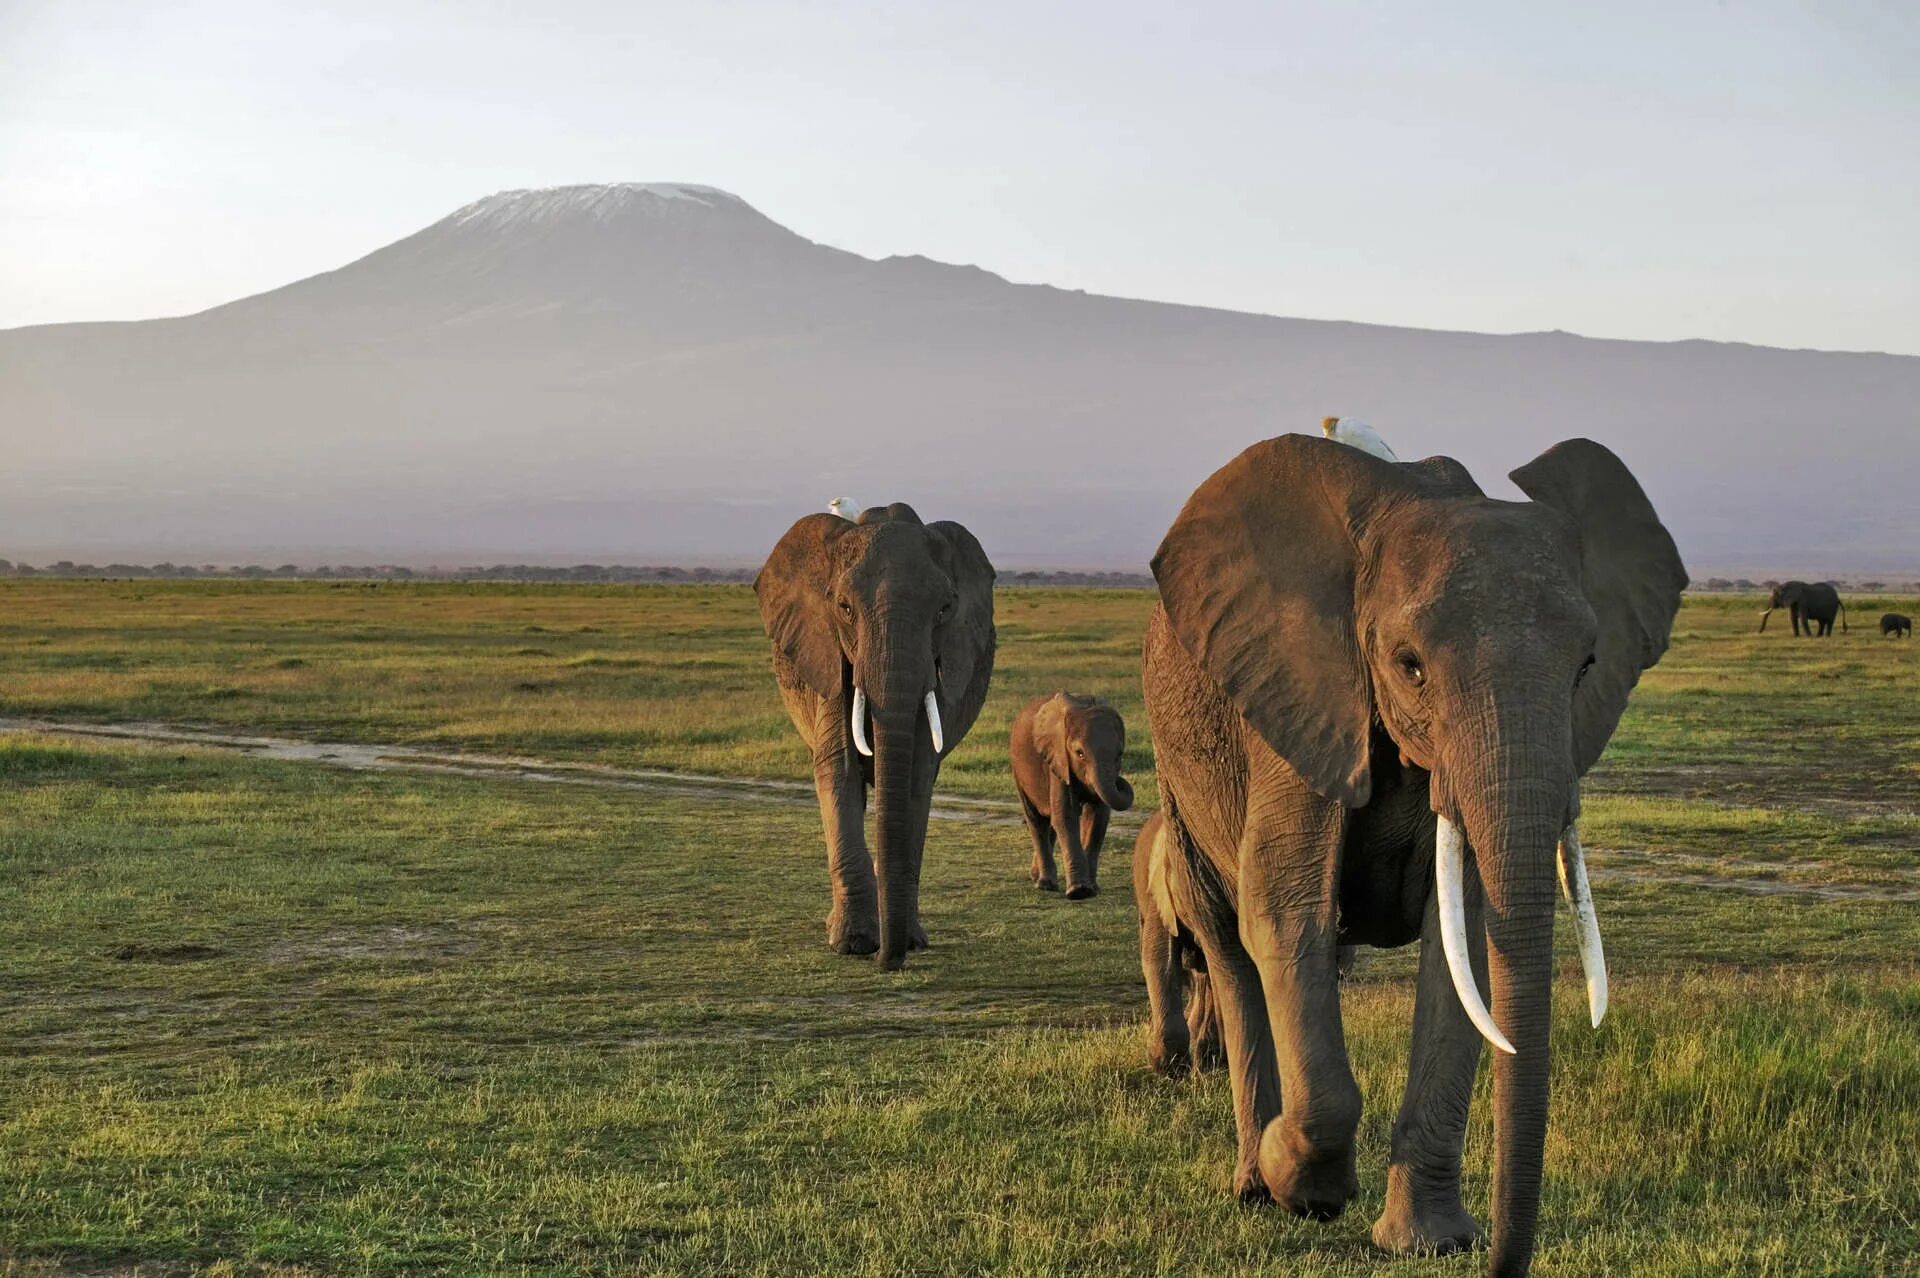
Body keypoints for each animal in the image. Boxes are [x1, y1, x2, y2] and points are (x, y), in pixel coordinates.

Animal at [756, 498, 998, 967]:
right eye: (844, 608)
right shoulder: (828, 655)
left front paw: (908, 941)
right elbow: (839, 771)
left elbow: (917, 778)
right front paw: (852, 944)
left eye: (944, 610)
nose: (889, 961)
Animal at [1013, 686, 1128, 894]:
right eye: (1079, 753)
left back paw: (1037, 876)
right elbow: (1066, 816)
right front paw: (1080, 891)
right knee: (1037, 820)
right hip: (1018, 770)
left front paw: (1093, 889)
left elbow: (1097, 819)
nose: (1120, 781)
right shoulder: (1057, 759)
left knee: (1049, 821)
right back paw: (1045, 884)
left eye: (1119, 755)